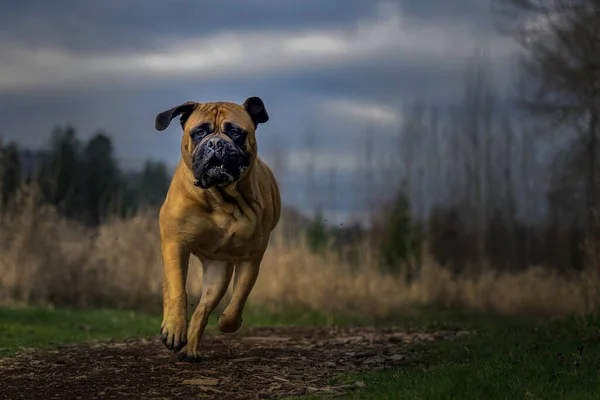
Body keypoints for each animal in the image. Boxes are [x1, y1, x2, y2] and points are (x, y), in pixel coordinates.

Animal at [152, 97, 278, 362]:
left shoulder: (251, 257)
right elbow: (178, 289)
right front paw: (174, 327)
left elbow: (239, 297)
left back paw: (191, 350)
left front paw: (228, 322)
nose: (215, 142)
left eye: (235, 132)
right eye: (200, 132)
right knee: (170, 287)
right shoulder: (175, 243)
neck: (221, 197)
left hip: (217, 273)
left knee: (202, 310)